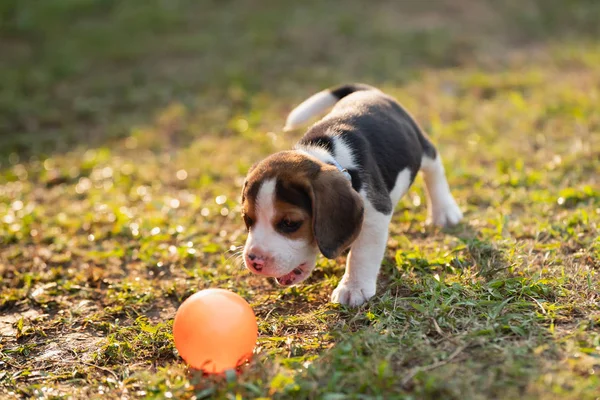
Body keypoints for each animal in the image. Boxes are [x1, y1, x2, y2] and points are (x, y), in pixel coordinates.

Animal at [240, 84, 464, 306]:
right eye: (248, 219)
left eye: (290, 223)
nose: (254, 261)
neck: (329, 157)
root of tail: (368, 91)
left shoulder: (375, 214)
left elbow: (362, 254)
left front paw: (353, 287)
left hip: (420, 148)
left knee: (434, 168)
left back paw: (444, 210)